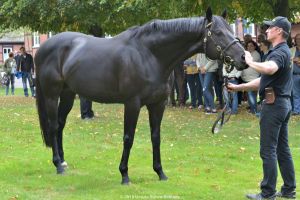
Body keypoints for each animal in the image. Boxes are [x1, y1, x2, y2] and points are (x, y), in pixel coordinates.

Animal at [35, 8, 246, 185]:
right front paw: (124, 174)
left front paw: (160, 172)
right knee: (53, 126)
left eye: (230, 29)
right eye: (218, 33)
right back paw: (57, 164)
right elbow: (128, 138)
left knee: (60, 125)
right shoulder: (132, 103)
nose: (243, 58)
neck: (150, 55)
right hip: (52, 95)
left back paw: (63, 162)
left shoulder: (158, 104)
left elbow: (156, 137)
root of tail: (43, 49)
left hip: (68, 94)